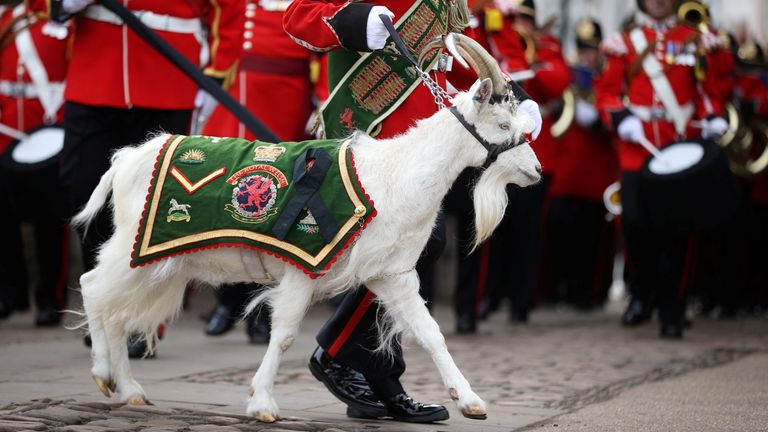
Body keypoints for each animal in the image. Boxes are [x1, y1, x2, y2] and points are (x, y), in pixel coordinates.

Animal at [72, 36, 540, 422]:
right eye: (503, 126)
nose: (535, 172)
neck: (392, 173)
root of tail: (128, 158)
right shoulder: (304, 262)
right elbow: (283, 336)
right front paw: (262, 403)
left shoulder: (391, 273)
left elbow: (431, 333)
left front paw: (470, 401)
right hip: (134, 247)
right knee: (93, 286)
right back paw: (103, 373)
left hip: (161, 261)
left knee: (117, 312)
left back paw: (129, 389)